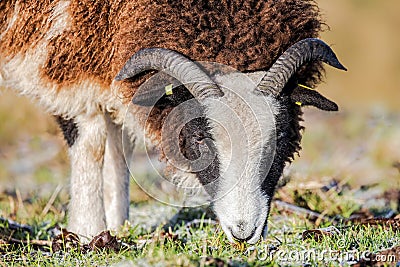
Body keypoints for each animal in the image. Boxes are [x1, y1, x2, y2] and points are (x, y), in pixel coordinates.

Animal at [0, 0, 346, 245]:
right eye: (199, 138)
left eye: (283, 136)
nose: (244, 231)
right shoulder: (68, 52)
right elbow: (91, 141)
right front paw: (87, 232)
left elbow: (120, 141)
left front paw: (117, 226)